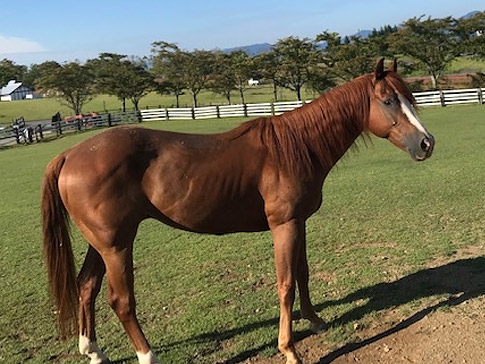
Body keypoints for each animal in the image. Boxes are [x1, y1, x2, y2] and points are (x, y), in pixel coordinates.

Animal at [42, 58, 434, 362]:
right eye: (387, 101)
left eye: (410, 98)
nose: (426, 143)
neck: (293, 148)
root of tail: (70, 154)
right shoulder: (284, 225)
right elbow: (286, 283)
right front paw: (289, 349)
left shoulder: (299, 222)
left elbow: (303, 273)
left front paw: (315, 320)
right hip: (117, 247)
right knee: (120, 300)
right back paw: (147, 355)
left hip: (102, 243)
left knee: (86, 287)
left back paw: (93, 351)